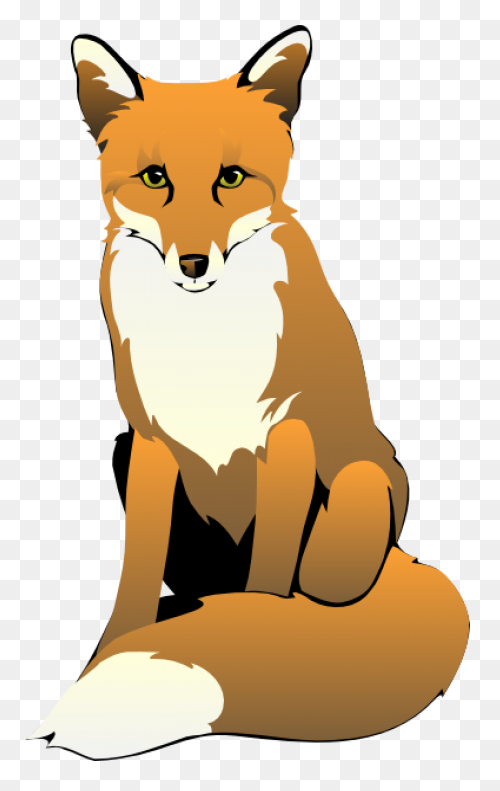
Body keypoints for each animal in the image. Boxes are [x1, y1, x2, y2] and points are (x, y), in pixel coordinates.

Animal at [28, 26, 469, 760]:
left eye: (230, 179)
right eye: (155, 178)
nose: (193, 263)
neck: (206, 343)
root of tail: (405, 558)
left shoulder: (285, 439)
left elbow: (267, 587)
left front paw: (262, 643)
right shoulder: (147, 441)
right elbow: (134, 579)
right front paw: (108, 650)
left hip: (356, 498)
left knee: (297, 584)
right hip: (124, 457)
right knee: (202, 594)